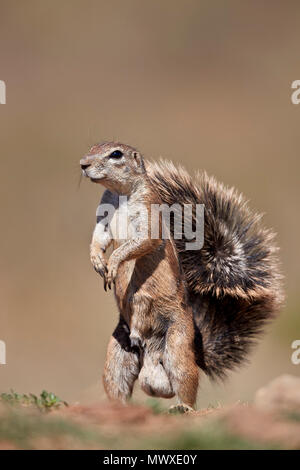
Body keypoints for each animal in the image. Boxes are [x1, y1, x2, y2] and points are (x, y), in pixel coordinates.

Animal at [80, 141, 284, 410]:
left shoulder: (148, 213)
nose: (83, 164)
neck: (119, 194)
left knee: (185, 380)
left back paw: (182, 407)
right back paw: (116, 408)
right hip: (119, 352)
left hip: (177, 345)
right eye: (92, 147)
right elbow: (100, 237)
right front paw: (97, 260)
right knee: (118, 382)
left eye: (116, 154)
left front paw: (112, 263)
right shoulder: (103, 215)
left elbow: (141, 241)